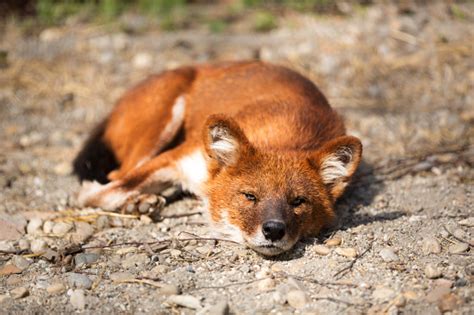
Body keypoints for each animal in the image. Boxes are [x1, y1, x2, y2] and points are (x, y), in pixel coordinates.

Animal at [73, 61, 362, 256]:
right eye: (250, 196)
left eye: (298, 201)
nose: (273, 230)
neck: (285, 136)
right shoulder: (176, 158)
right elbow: (95, 194)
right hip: (161, 121)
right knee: (117, 174)